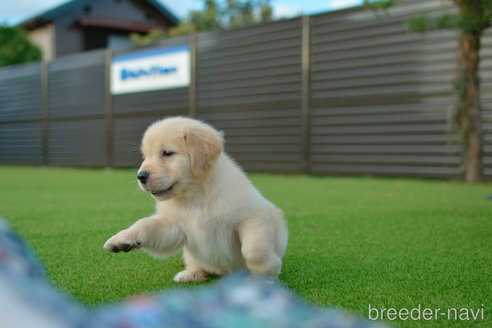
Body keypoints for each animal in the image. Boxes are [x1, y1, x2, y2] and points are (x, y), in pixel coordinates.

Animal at [104, 116, 288, 282]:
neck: (195, 195)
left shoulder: (251, 216)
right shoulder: (174, 227)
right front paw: (123, 238)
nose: (140, 176)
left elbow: (253, 249)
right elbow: (146, 224)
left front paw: (267, 272)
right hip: (191, 255)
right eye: (145, 156)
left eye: (167, 153)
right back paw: (192, 273)